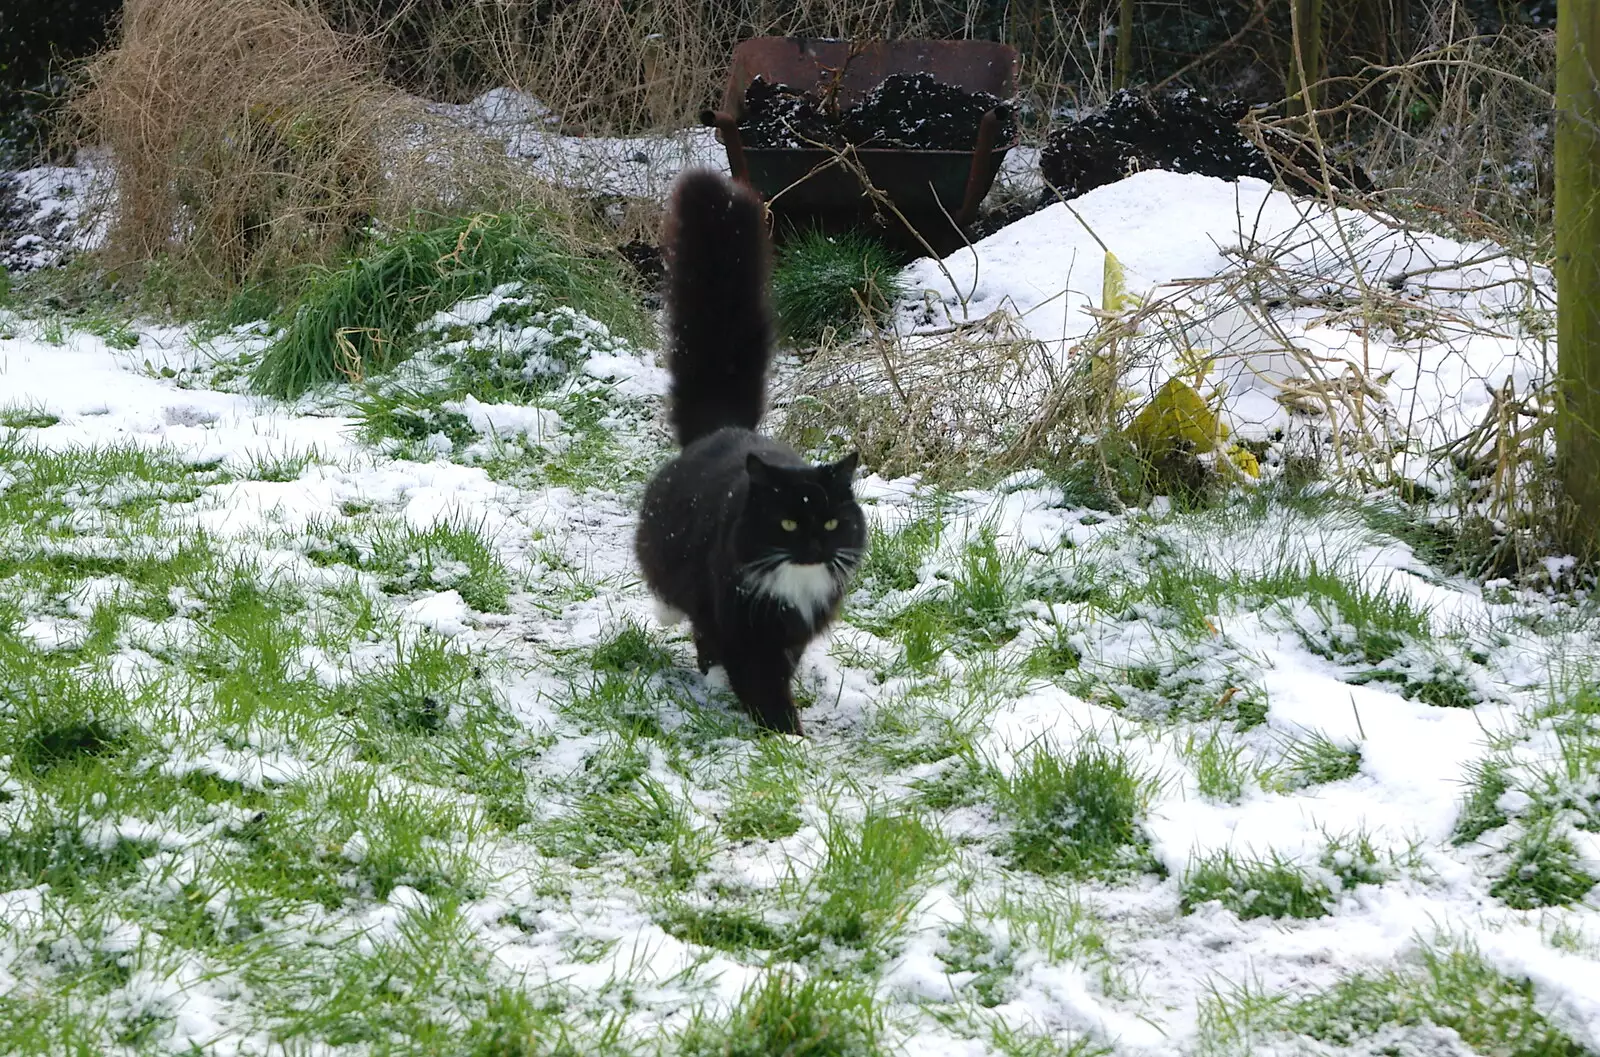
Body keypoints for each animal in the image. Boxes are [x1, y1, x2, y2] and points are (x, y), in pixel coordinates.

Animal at [630, 171, 870, 732]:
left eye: (831, 523)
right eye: (787, 522)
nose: (813, 546)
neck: (794, 583)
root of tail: (725, 429)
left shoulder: (794, 628)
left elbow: (780, 667)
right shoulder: (742, 617)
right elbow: (759, 679)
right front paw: (785, 735)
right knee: (681, 610)